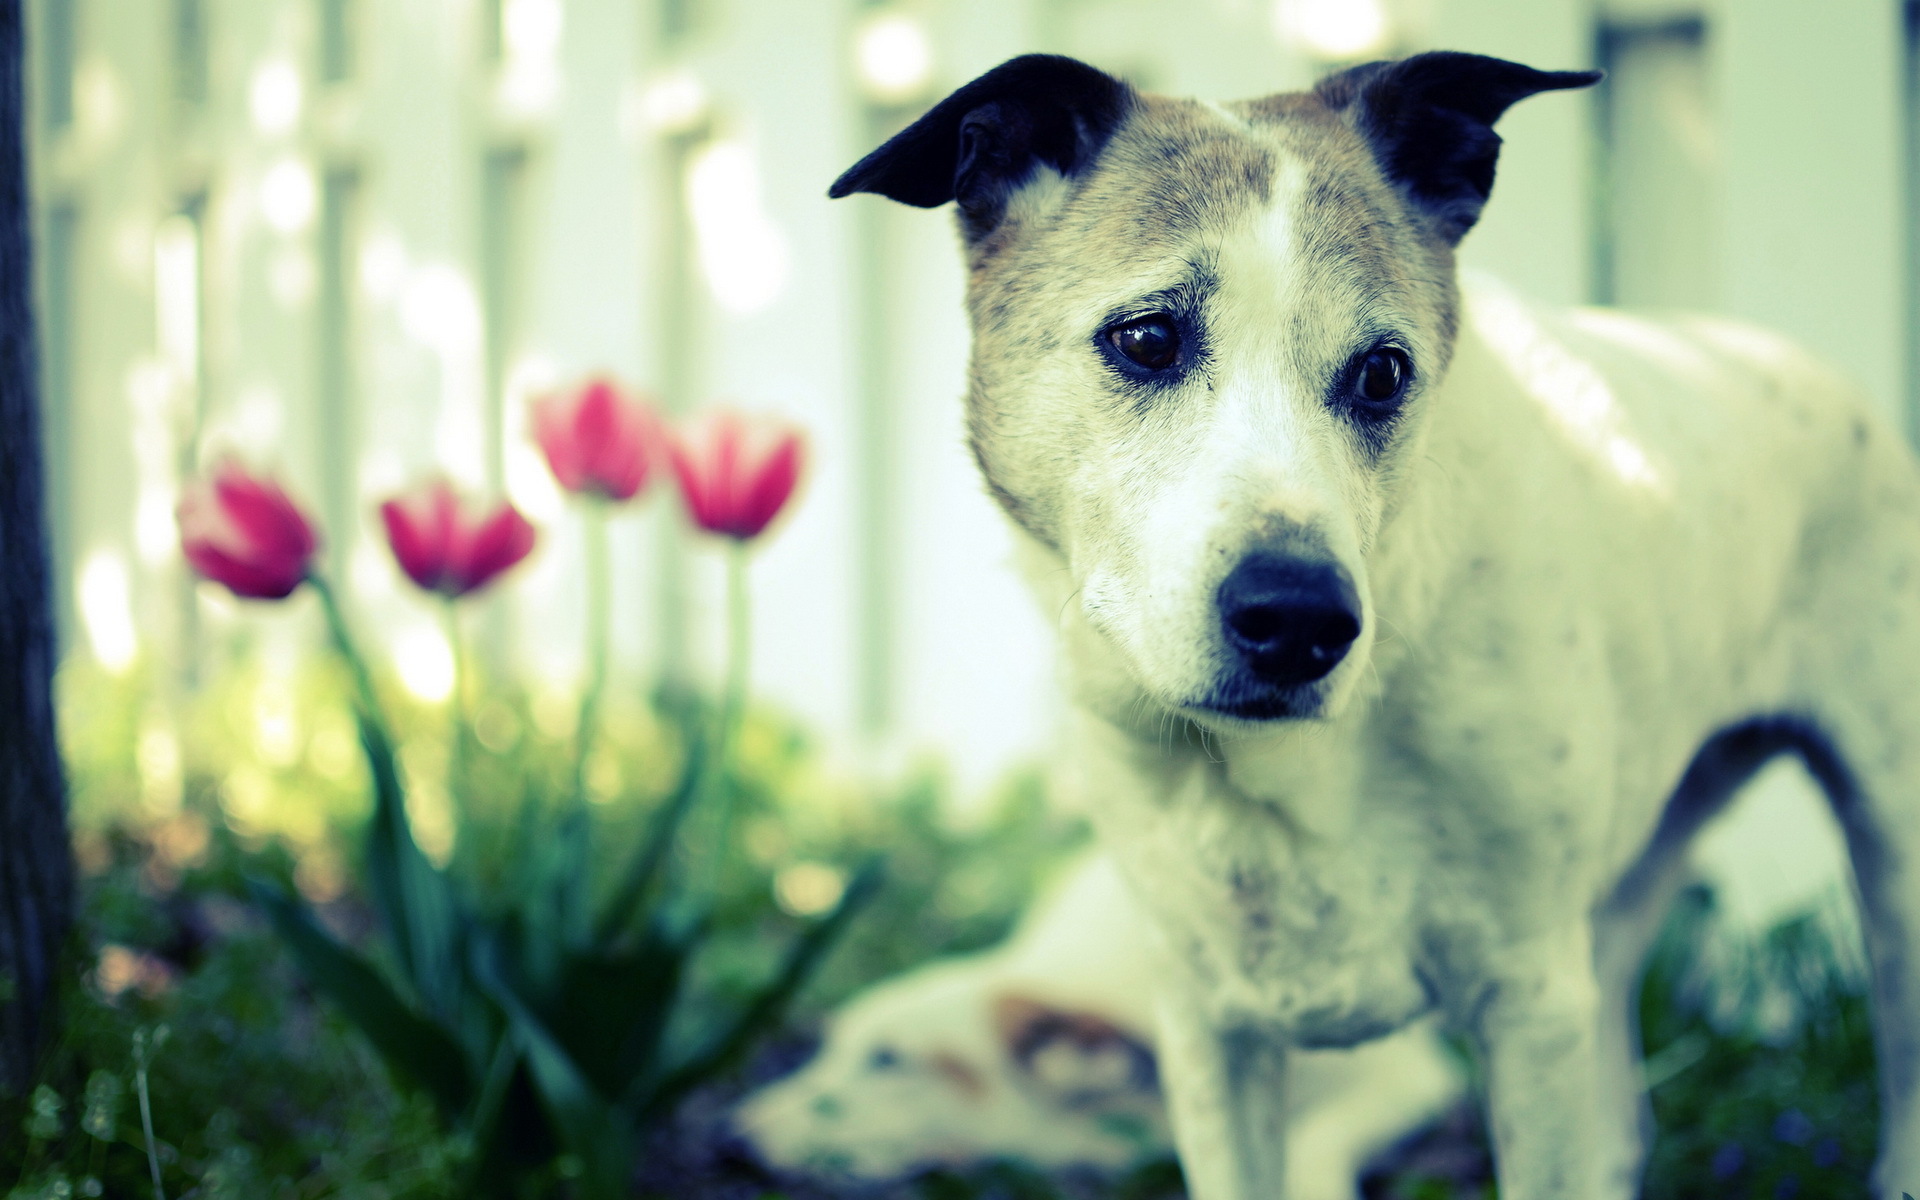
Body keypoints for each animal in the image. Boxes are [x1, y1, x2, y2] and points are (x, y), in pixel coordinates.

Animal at [833, 53, 1920, 1198]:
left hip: (1890, 852)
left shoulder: (1530, 1009)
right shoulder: (1209, 1031)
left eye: (1385, 371)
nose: (1299, 621)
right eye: (1146, 338)